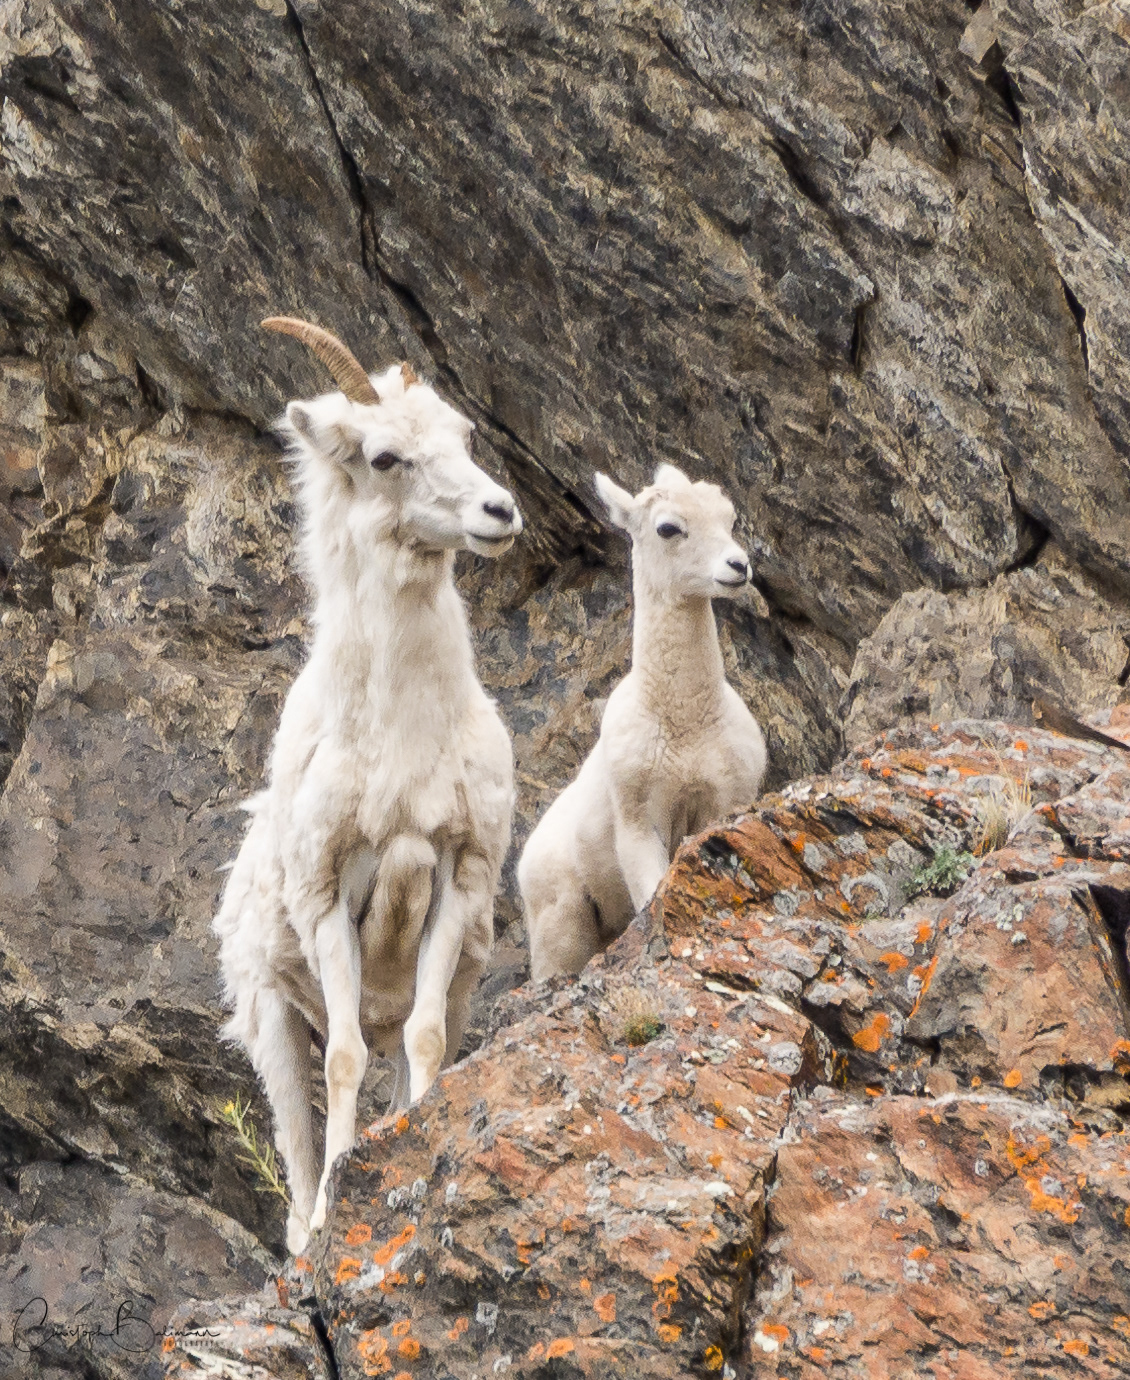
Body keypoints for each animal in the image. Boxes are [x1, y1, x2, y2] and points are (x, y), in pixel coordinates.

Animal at [214, 318, 522, 1252]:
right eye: (385, 457)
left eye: (462, 435)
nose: (500, 513)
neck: (403, 737)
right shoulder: (327, 901)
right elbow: (344, 1057)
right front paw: (334, 1212)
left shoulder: (457, 878)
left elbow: (419, 1042)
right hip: (272, 1025)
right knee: (297, 1133)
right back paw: (306, 1230)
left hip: (459, 982)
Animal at [518, 463, 766, 981]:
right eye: (668, 528)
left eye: (728, 516)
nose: (738, 567)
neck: (686, 720)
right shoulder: (638, 824)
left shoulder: (723, 802)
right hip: (562, 928)